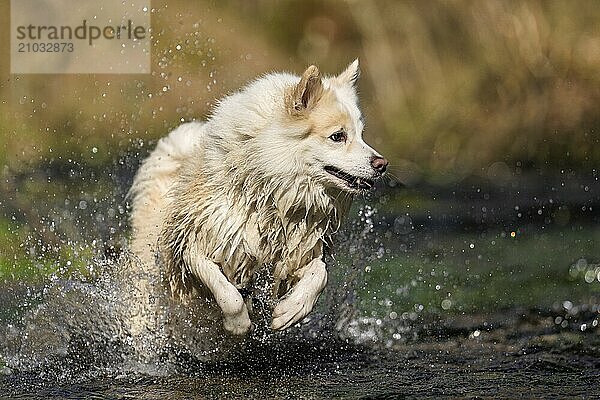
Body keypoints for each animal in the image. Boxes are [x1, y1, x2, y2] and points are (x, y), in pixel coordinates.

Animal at [129, 59, 386, 334]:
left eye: (361, 134)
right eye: (338, 136)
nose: (382, 164)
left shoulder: (300, 251)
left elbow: (320, 273)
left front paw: (290, 311)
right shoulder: (191, 246)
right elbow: (228, 293)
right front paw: (238, 323)